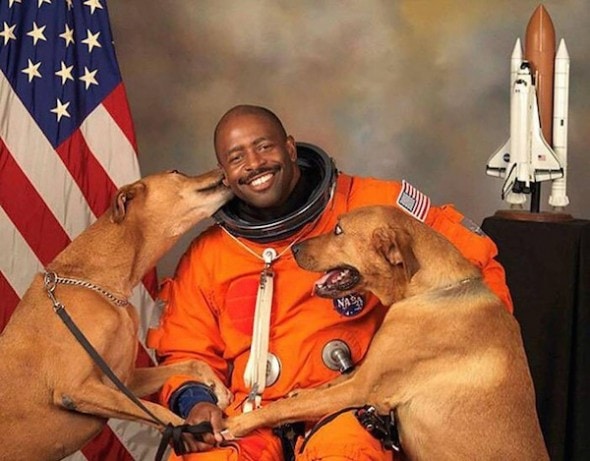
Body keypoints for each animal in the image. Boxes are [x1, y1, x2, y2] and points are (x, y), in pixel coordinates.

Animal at [0, 169, 236, 460]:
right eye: (175, 172)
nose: (222, 170)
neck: (101, 285)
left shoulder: (126, 381)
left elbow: (191, 363)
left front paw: (217, 389)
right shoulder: (76, 389)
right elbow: (158, 412)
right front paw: (189, 429)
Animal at [223, 206, 552, 460]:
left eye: (339, 230)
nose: (293, 248)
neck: (430, 289)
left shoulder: (362, 388)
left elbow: (290, 406)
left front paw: (239, 422)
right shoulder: (364, 371)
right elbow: (323, 386)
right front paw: (301, 392)